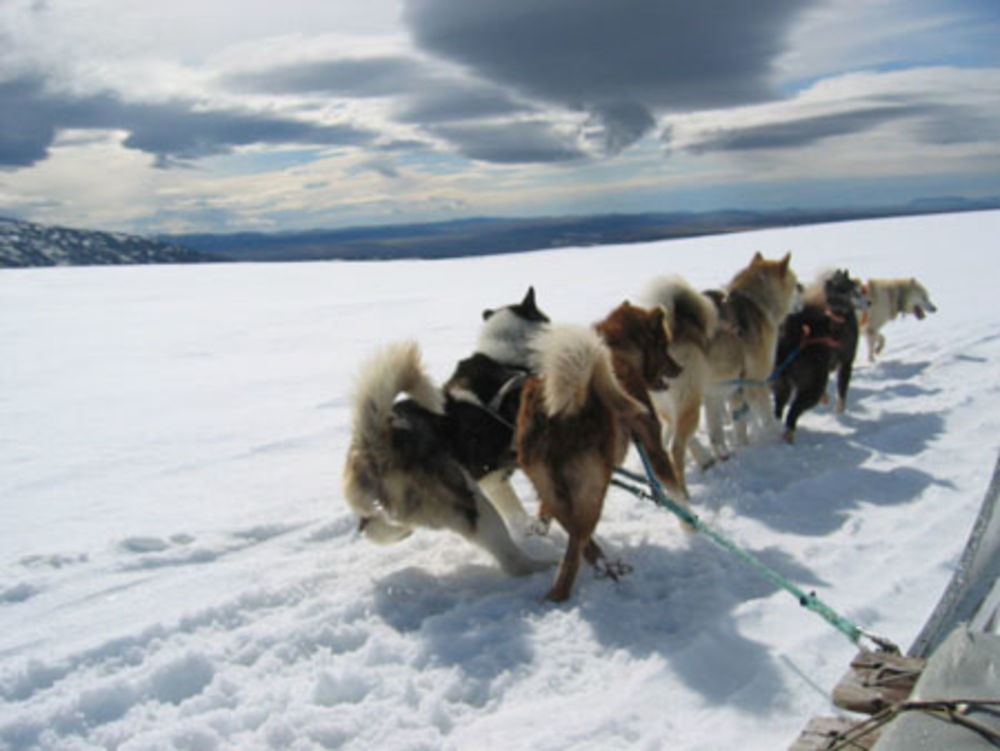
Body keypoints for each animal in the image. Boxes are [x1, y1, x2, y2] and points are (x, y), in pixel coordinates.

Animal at [344, 288, 556, 576]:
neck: (505, 358)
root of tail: (377, 443)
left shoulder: (494, 481)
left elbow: (517, 512)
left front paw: (530, 528)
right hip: (475, 506)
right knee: (512, 561)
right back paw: (542, 566)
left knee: (373, 527)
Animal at [516, 302, 688, 604]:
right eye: (664, 344)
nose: (679, 368)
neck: (617, 348)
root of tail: (559, 411)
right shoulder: (653, 447)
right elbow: (676, 491)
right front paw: (691, 526)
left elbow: (546, 512)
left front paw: (541, 524)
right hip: (594, 490)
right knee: (574, 553)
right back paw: (563, 593)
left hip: (556, 487)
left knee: (577, 536)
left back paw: (606, 566)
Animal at [768, 268, 872, 440]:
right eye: (855, 291)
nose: (869, 302)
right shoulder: (846, 363)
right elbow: (842, 393)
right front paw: (840, 412)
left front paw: (827, 399)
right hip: (812, 384)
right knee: (793, 412)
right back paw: (789, 433)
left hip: (782, 384)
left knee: (779, 409)